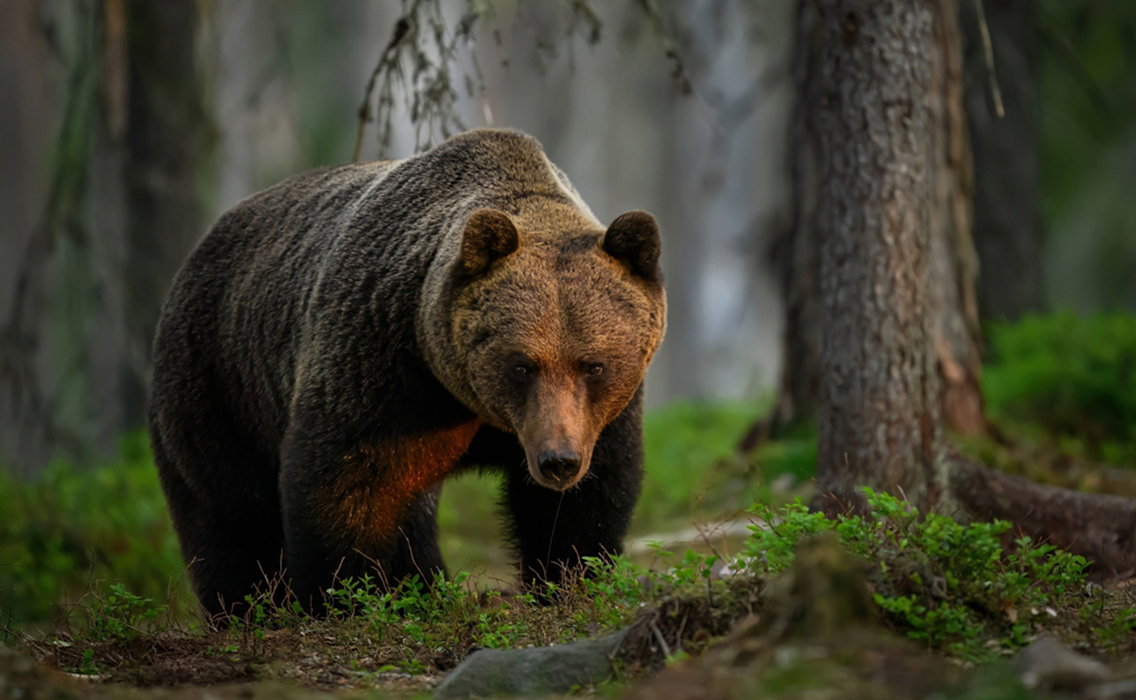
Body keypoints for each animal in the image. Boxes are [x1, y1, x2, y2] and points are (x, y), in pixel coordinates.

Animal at [148, 129, 666, 617]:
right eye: (521, 365)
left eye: (593, 365)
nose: (558, 460)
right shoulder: (380, 366)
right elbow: (348, 483)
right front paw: (348, 597)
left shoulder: (600, 417)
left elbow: (583, 501)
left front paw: (569, 580)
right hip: (217, 382)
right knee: (230, 514)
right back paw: (248, 608)